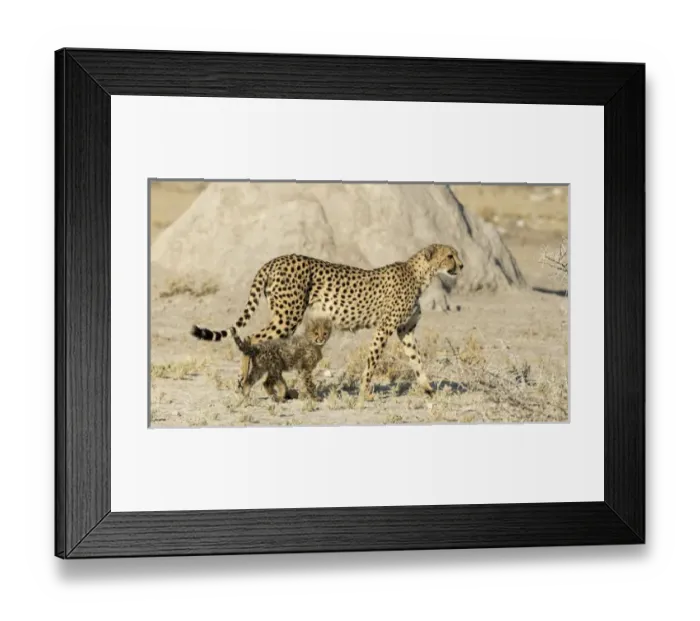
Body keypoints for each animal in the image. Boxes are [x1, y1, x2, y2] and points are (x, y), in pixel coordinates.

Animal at [190, 243, 464, 404]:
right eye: (450, 255)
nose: (461, 265)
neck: (421, 275)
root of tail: (275, 259)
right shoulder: (384, 329)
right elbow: (372, 362)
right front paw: (365, 393)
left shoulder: (404, 330)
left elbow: (417, 361)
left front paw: (428, 389)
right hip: (287, 316)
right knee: (252, 338)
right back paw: (245, 384)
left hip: (285, 317)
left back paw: (278, 389)